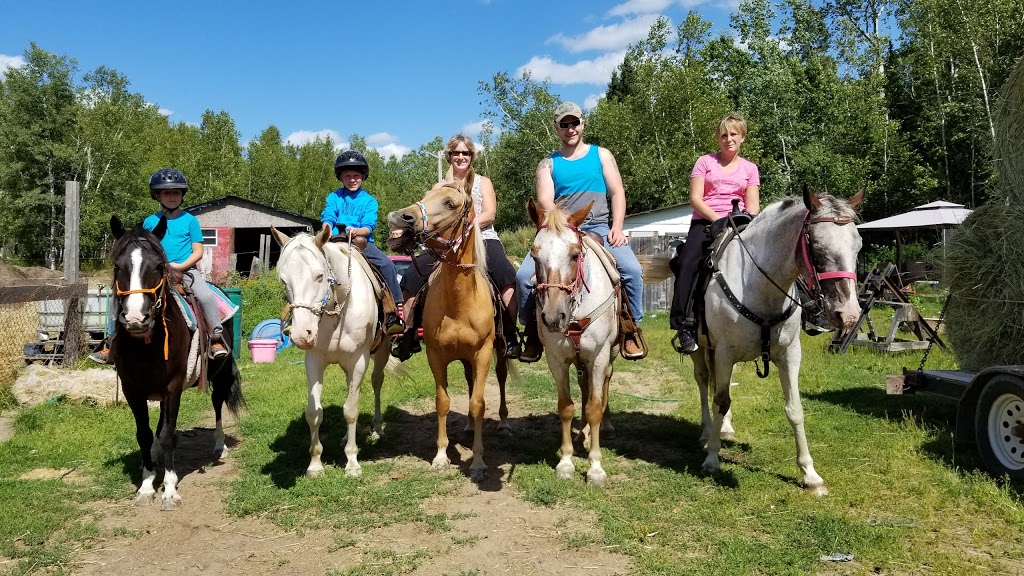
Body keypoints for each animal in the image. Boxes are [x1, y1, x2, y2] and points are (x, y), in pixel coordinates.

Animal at [109, 217, 243, 508]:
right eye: (117, 266)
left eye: (158, 266)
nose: (136, 319)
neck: (146, 345)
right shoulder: (132, 389)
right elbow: (144, 433)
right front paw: (146, 484)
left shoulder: (174, 386)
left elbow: (170, 435)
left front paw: (169, 490)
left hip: (220, 374)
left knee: (217, 403)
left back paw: (220, 446)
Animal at [272, 224, 391, 475]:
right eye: (284, 280)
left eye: (319, 276)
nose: (301, 335)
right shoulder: (314, 361)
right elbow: (314, 412)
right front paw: (315, 464)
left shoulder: (359, 361)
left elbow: (351, 410)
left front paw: (352, 463)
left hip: (382, 351)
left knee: (377, 382)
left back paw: (377, 429)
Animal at [385, 180, 505, 479]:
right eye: (427, 195)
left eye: (450, 203)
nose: (400, 217)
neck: (459, 301)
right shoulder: (436, 355)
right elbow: (443, 402)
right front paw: (441, 456)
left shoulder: (483, 353)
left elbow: (478, 403)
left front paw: (478, 462)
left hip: (497, 352)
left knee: (501, 378)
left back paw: (504, 422)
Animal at [528, 199, 614, 481]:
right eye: (534, 255)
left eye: (575, 254)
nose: (554, 317)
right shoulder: (557, 359)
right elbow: (566, 407)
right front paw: (566, 461)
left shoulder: (598, 357)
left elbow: (594, 407)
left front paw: (595, 467)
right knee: (584, 389)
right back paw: (582, 434)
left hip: (608, 358)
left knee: (603, 387)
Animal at [643, 187, 860, 494]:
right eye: (817, 246)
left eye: (858, 245)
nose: (848, 315)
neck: (760, 285)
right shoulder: (723, 352)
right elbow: (720, 400)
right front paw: (712, 459)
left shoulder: (789, 354)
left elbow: (794, 409)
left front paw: (810, 474)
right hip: (701, 348)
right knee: (703, 383)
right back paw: (708, 432)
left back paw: (725, 429)